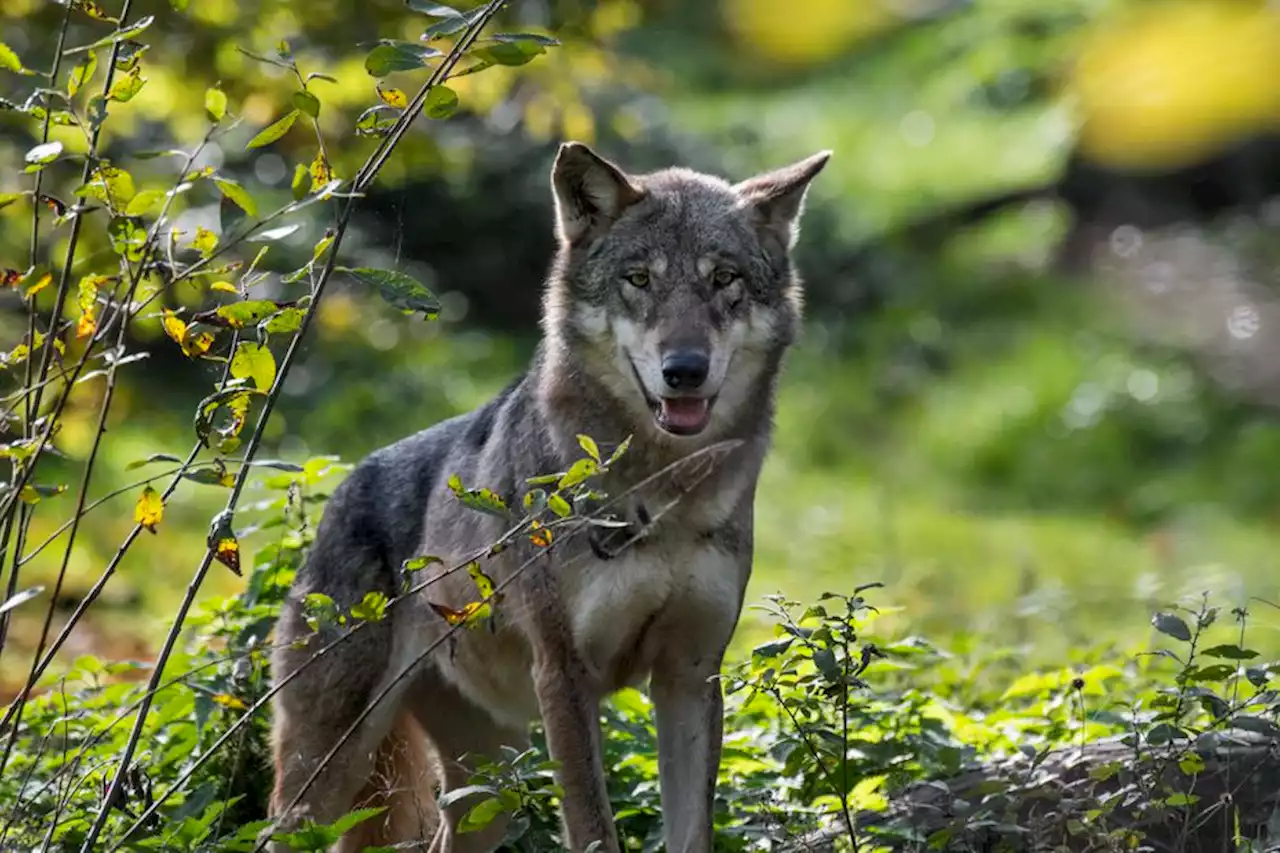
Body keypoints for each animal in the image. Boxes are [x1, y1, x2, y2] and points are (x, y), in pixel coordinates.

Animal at [268, 142, 829, 845]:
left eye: (723, 278)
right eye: (638, 280)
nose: (684, 371)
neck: (662, 492)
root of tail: (347, 484)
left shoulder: (691, 676)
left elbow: (691, 832)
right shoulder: (564, 676)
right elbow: (593, 829)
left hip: (488, 792)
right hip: (325, 782)